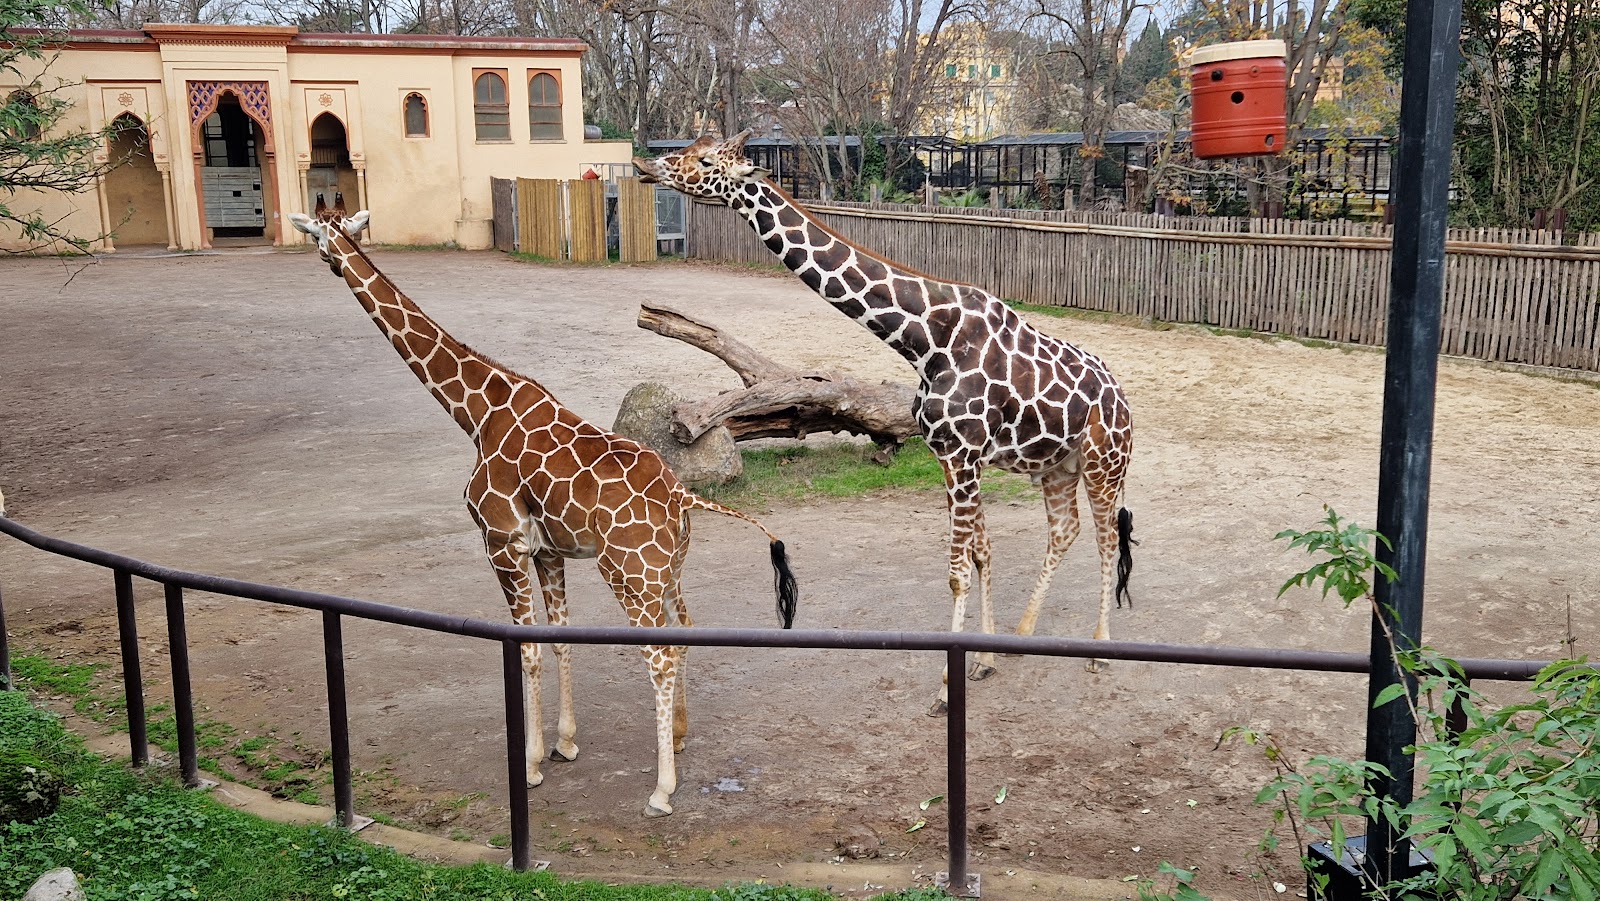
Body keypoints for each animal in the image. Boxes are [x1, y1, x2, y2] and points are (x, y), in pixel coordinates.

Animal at [289, 209, 800, 819]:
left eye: (320, 233)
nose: (326, 257)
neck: (479, 413)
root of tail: (683, 496)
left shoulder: (501, 541)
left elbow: (526, 647)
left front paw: (530, 765)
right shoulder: (547, 550)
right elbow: (559, 637)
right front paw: (565, 743)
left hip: (628, 574)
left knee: (658, 655)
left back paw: (661, 791)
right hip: (667, 570)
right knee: (685, 633)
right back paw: (677, 736)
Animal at [630, 133, 1132, 716]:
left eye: (707, 161)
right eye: (691, 147)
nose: (644, 164)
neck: (925, 341)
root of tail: (1125, 402)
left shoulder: (963, 454)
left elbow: (957, 572)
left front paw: (945, 689)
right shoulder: (953, 456)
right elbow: (981, 554)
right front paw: (983, 659)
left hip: (1104, 464)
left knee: (1105, 538)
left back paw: (1099, 650)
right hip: (1056, 467)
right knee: (1065, 530)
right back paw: (1024, 633)